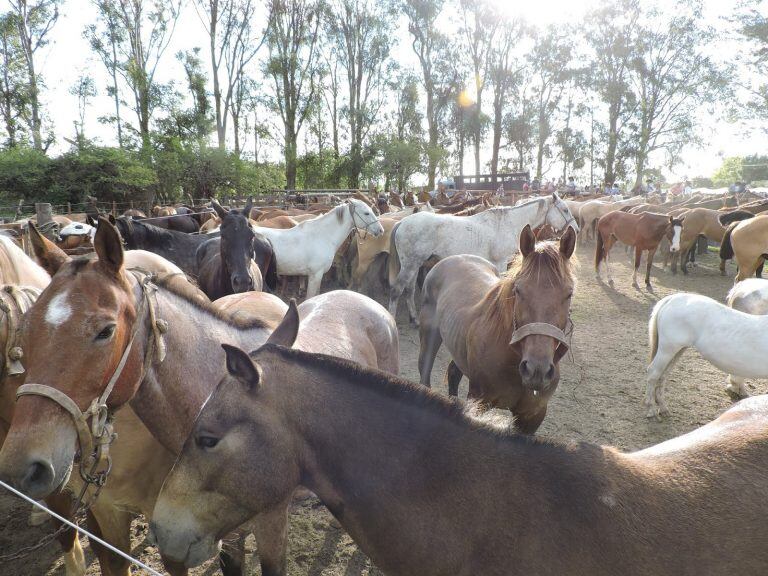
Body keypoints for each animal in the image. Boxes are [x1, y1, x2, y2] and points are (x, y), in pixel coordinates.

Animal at [390, 191, 576, 322]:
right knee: (397, 290)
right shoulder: (501, 263)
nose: (575, 228)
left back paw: (414, 319)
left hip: (415, 265)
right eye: (565, 210)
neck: (506, 224)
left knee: (409, 289)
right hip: (410, 265)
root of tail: (402, 222)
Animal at [416, 225, 572, 432]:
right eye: (518, 290)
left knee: (454, 373)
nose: (537, 369)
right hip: (430, 336)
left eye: (569, 293)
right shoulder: (479, 402)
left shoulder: (532, 416)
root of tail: (449, 259)